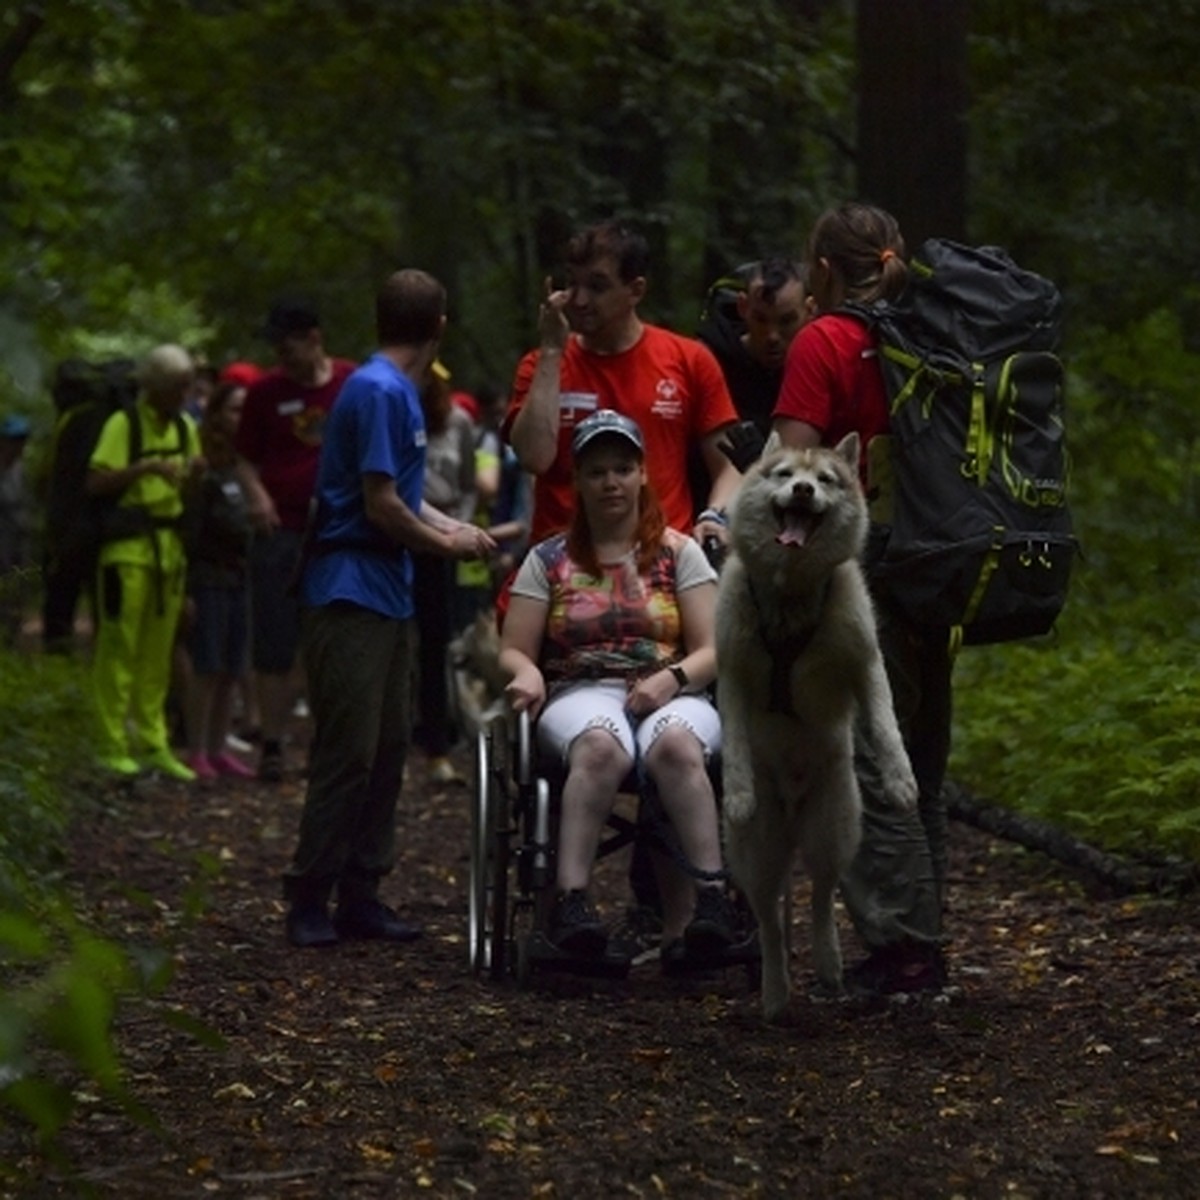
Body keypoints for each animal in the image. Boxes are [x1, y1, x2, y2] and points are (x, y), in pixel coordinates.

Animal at [710, 436, 916, 1017]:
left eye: (824, 480)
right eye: (784, 474)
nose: (802, 490)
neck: (789, 595)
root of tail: (792, 806)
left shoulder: (865, 661)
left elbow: (886, 725)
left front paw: (900, 782)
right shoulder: (732, 674)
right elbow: (735, 741)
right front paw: (738, 792)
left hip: (835, 828)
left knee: (822, 897)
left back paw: (828, 963)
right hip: (757, 855)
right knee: (767, 921)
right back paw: (775, 991)